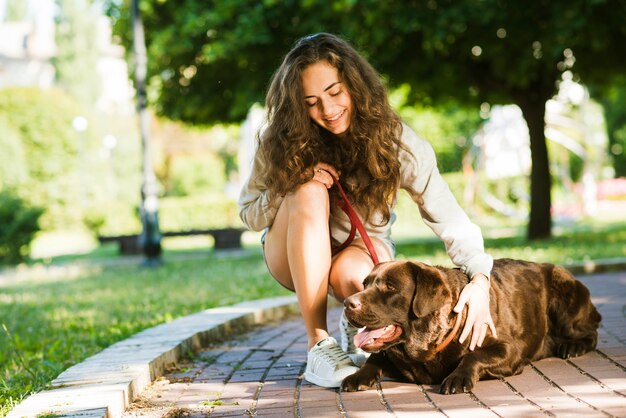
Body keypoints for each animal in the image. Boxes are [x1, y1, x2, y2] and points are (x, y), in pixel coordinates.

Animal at [342, 258, 600, 396]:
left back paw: (572, 347)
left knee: (592, 332)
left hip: (564, 294)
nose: (347, 303)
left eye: (390, 287)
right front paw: (357, 375)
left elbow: (474, 356)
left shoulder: (509, 350)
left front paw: (458, 377)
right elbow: (373, 358)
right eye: (365, 284)